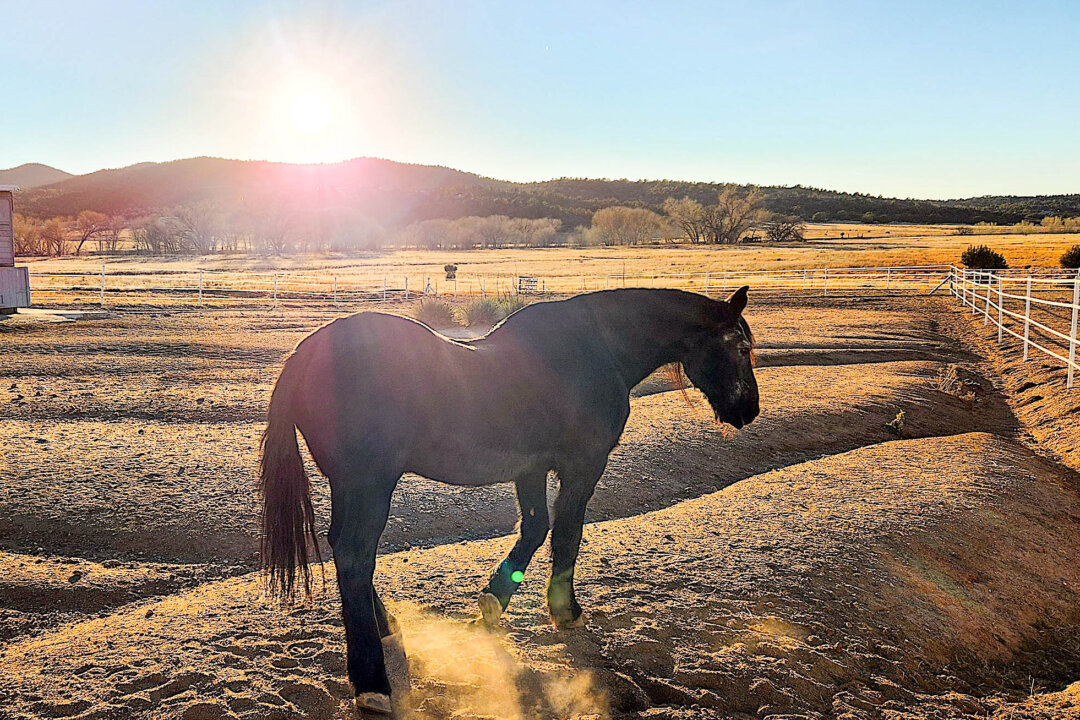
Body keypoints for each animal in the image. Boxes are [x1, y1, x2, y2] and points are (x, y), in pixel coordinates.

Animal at [258, 286, 759, 714]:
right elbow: (568, 534)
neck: (598, 349)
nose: (749, 410)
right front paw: (565, 611)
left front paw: (493, 601)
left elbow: (535, 528)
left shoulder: (530, 469)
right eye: (741, 348)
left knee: (343, 550)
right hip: (369, 485)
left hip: (350, 487)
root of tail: (304, 355)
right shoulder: (583, 465)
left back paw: (386, 626)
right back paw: (371, 683)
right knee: (354, 556)